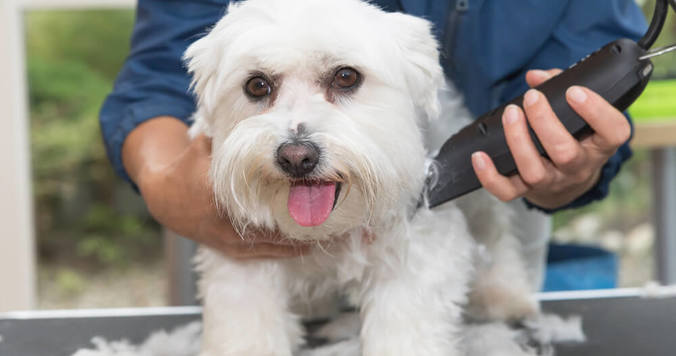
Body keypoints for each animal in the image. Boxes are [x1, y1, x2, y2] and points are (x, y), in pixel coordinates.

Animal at [184, 1, 540, 354]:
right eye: (256, 85)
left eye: (346, 77)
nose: (297, 157)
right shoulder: (242, 266)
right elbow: (247, 332)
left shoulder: (417, 259)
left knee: (494, 228)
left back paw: (505, 294)